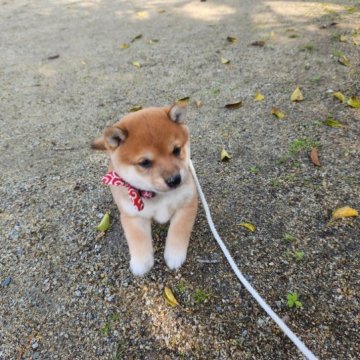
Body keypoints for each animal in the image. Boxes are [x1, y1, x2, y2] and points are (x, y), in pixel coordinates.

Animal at [90, 104, 197, 276]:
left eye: (176, 150)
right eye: (145, 162)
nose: (175, 180)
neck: (157, 195)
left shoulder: (187, 204)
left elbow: (179, 231)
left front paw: (175, 255)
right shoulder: (133, 216)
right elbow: (138, 240)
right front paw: (141, 263)